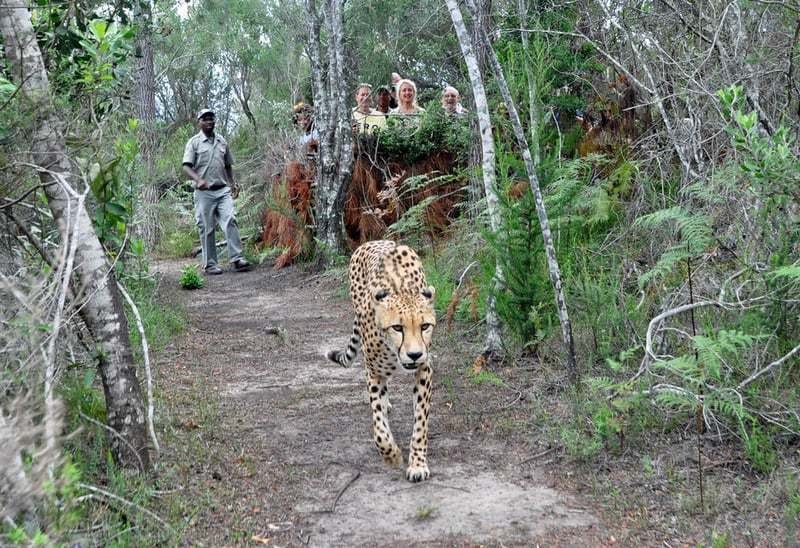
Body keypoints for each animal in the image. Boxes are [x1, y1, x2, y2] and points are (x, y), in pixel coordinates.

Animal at [326, 242, 434, 482]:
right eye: (397, 327)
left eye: (424, 326)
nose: (414, 354)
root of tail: (371, 242)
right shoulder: (373, 372)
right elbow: (378, 426)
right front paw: (392, 455)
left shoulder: (424, 369)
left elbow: (420, 422)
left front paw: (417, 464)